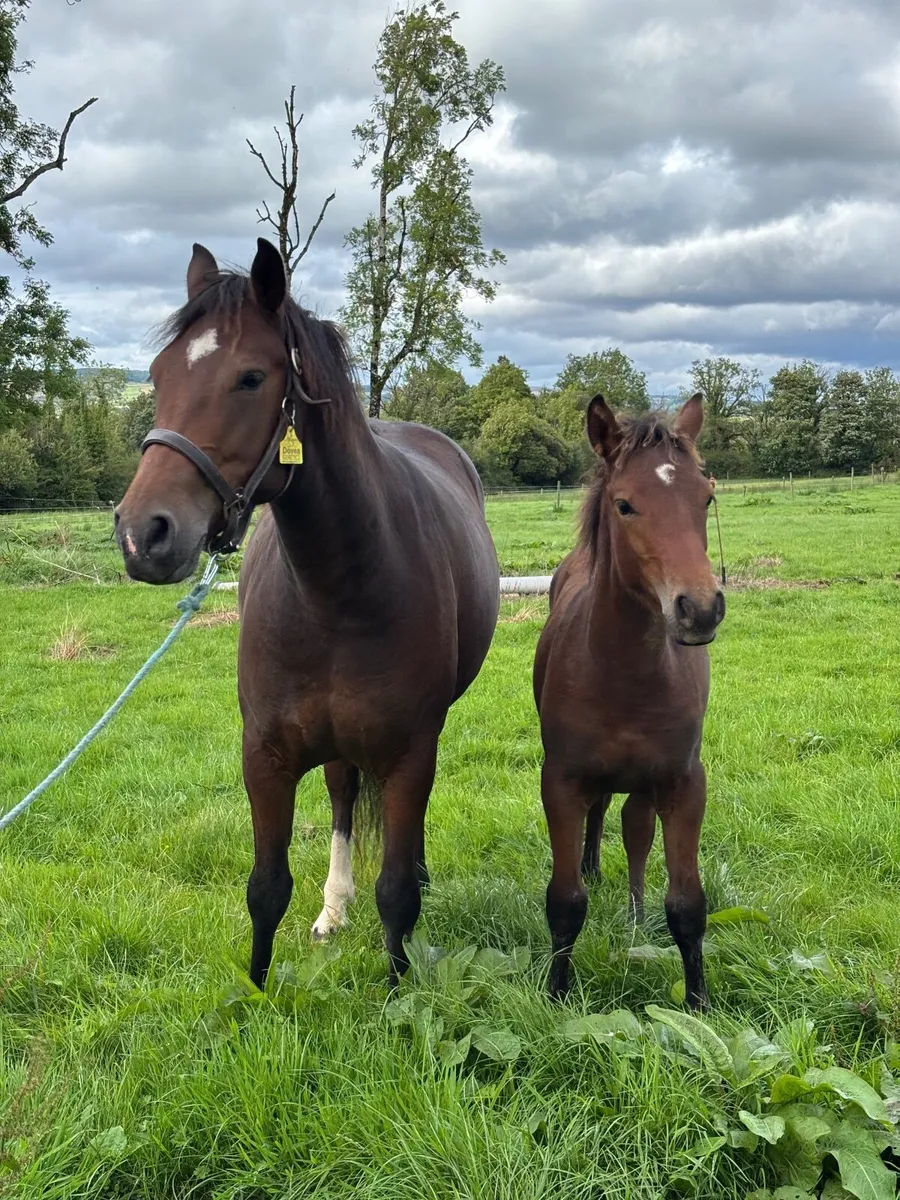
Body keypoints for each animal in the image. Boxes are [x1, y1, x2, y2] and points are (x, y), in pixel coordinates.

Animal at [114, 237, 500, 989]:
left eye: (250, 378)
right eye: (157, 374)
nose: (143, 533)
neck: (337, 592)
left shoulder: (411, 751)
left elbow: (397, 894)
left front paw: (397, 989)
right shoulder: (264, 754)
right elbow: (266, 888)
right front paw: (257, 992)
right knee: (344, 796)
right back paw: (333, 910)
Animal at [532, 393, 724, 1010]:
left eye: (705, 495)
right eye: (625, 504)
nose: (700, 609)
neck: (626, 675)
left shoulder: (683, 781)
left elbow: (687, 904)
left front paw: (698, 1004)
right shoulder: (561, 779)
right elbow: (565, 901)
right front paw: (557, 993)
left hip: (645, 783)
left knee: (636, 830)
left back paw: (637, 915)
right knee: (601, 816)